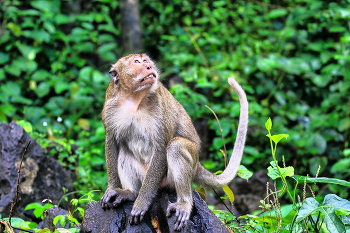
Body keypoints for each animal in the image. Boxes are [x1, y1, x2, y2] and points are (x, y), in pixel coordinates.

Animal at [100, 53, 249, 230]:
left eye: (146, 61)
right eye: (137, 62)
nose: (149, 67)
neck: (134, 97)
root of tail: (197, 164)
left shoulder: (160, 108)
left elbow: (161, 148)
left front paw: (141, 204)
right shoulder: (110, 106)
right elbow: (112, 142)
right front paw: (113, 189)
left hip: (173, 175)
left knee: (175, 146)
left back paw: (184, 203)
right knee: (124, 148)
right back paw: (130, 192)